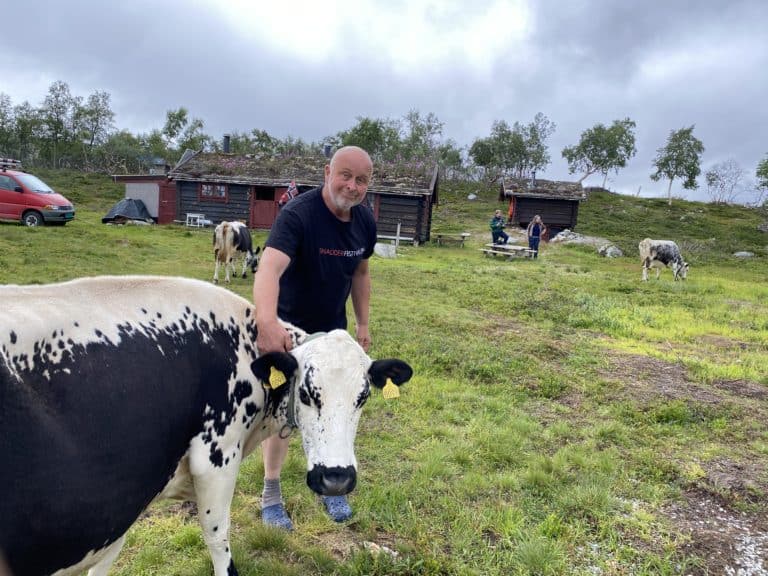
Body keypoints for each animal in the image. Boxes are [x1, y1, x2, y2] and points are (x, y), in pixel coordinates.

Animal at [0, 276, 414, 576]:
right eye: (308, 394)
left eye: (363, 398)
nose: (336, 479)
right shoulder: (216, 459)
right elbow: (218, 540)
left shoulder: (116, 510)